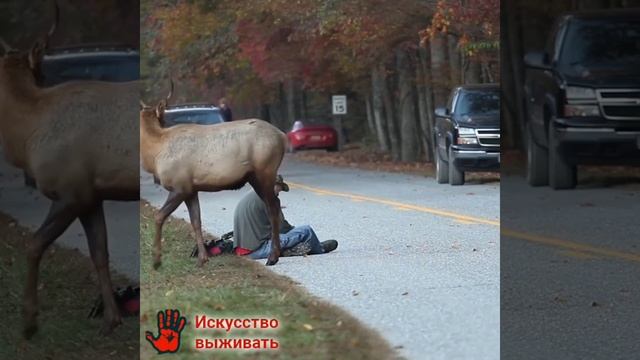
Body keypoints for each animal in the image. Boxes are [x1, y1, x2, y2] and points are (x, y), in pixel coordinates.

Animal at [0, 7, 139, 338]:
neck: (26, 137)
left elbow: (34, 245)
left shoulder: (71, 190)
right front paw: (111, 319)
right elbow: (99, 253)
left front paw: (29, 320)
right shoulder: (91, 195)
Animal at [142, 84, 288, 268]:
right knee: (274, 205)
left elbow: (159, 216)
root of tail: (282, 136)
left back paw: (273, 256)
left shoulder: (180, 186)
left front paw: (156, 261)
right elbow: (196, 221)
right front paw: (202, 258)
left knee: (273, 206)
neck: (154, 154)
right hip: (255, 177)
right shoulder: (191, 190)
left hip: (264, 172)